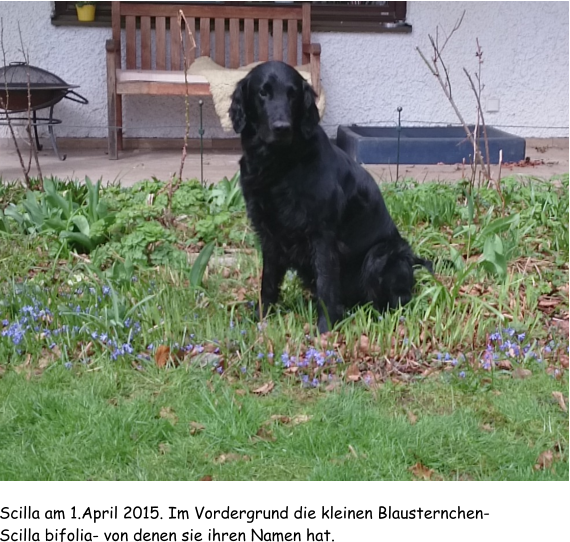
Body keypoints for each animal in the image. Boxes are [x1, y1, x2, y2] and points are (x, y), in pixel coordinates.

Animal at [229, 62, 428, 336]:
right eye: (263, 92)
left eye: (292, 94)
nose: (282, 127)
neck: (280, 165)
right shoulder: (268, 235)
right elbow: (267, 282)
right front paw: (260, 318)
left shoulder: (322, 235)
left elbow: (326, 285)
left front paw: (325, 328)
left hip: (380, 256)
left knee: (397, 300)